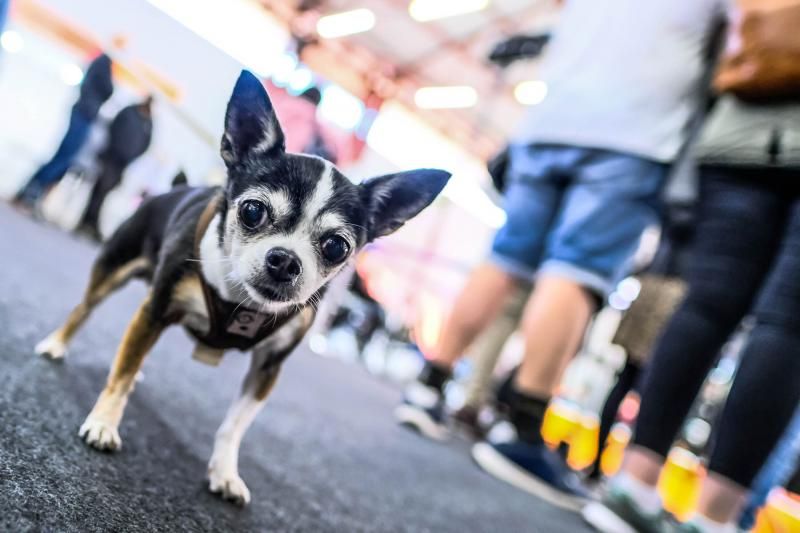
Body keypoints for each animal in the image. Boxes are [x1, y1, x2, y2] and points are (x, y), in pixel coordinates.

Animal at [34, 69, 450, 502]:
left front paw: (224, 472)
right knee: (84, 308)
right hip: (114, 267)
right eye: (252, 211)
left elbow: (234, 426)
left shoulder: (268, 367)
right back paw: (56, 344)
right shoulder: (155, 310)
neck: (241, 299)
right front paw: (103, 423)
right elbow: (121, 374)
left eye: (337, 246)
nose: (285, 260)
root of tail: (176, 189)